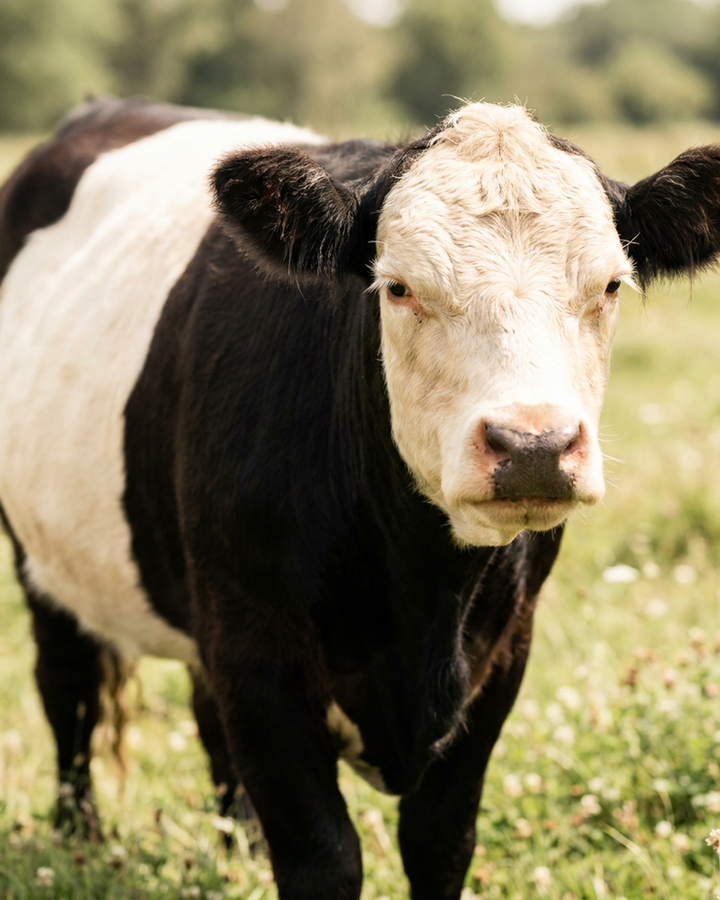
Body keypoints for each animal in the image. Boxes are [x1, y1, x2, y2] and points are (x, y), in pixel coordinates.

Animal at [0, 96, 719, 900]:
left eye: (611, 285)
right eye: (398, 286)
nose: (532, 446)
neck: (421, 599)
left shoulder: (505, 650)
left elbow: (440, 843)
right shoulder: (256, 651)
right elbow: (323, 856)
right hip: (41, 561)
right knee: (66, 691)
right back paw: (80, 841)